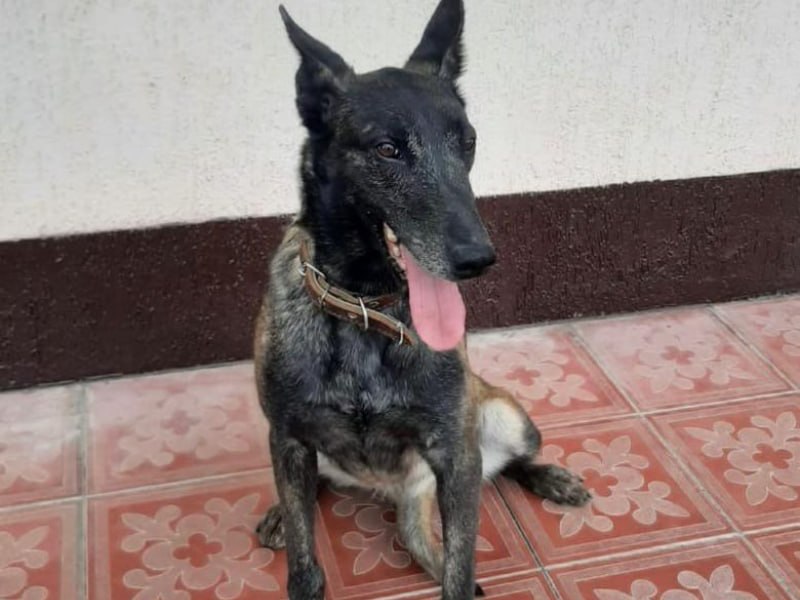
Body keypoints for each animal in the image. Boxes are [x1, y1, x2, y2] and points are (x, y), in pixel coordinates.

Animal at [253, 1, 591, 598]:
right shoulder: (288, 437)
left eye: (467, 142)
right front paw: (290, 531)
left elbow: (459, 569)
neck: (367, 308)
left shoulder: (455, 457)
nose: (478, 258)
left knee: (509, 462)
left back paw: (551, 476)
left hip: (503, 417)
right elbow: (303, 561)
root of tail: (401, 490)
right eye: (387, 149)